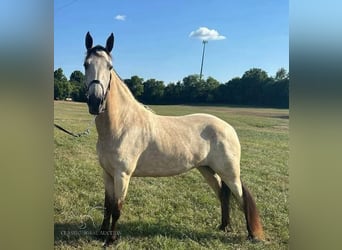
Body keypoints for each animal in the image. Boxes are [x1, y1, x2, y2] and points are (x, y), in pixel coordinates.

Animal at [83, 31, 264, 246]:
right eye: (86, 64)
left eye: (109, 67)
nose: (96, 102)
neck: (122, 125)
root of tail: (228, 128)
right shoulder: (107, 174)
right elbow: (107, 206)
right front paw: (100, 234)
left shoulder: (122, 175)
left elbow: (117, 209)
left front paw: (111, 240)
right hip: (208, 170)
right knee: (222, 194)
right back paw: (224, 226)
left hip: (230, 173)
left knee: (242, 198)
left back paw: (252, 235)